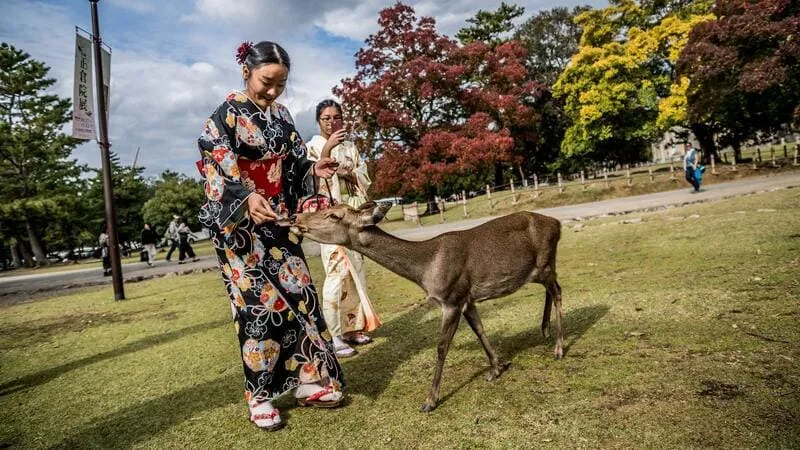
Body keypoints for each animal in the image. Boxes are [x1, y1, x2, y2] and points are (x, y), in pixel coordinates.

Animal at [290, 202, 564, 414]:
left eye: (333, 215)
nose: (296, 217)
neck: (425, 271)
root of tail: (557, 224)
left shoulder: (451, 298)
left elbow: (441, 347)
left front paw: (430, 401)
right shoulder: (467, 298)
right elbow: (480, 330)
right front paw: (497, 368)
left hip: (545, 261)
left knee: (558, 291)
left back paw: (559, 348)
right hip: (538, 270)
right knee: (551, 290)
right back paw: (545, 330)